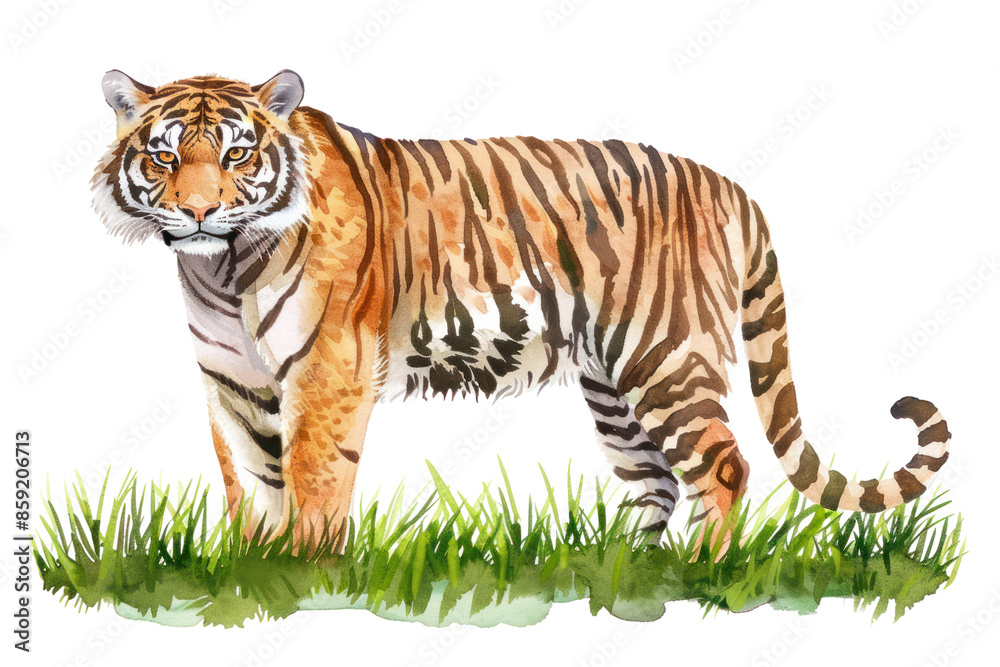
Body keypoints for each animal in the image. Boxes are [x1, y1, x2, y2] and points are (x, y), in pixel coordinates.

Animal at [92, 69, 952, 553]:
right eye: (163, 155)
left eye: (237, 153)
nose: (198, 212)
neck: (221, 267)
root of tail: (729, 186)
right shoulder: (232, 377)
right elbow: (251, 474)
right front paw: (254, 574)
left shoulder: (328, 365)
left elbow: (311, 475)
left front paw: (307, 572)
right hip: (613, 383)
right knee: (656, 482)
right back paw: (627, 576)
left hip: (664, 354)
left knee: (722, 464)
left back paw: (703, 574)